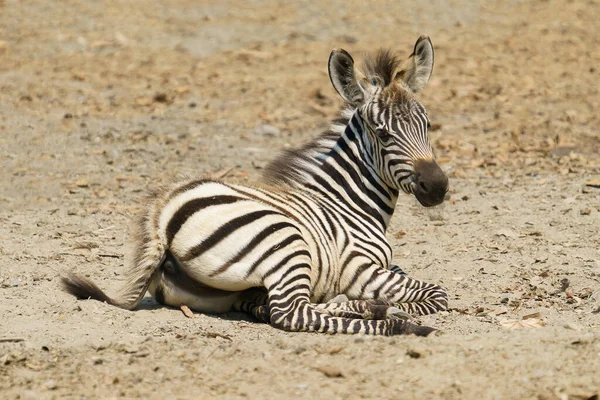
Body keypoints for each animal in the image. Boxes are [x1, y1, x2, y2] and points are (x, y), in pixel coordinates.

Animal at [63, 36, 450, 336]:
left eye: (428, 125)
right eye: (383, 135)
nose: (437, 186)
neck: (348, 202)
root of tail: (163, 214)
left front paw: (371, 303)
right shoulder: (360, 269)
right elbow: (436, 294)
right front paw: (393, 309)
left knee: (275, 305)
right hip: (286, 241)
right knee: (291, 312)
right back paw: (394, 323)